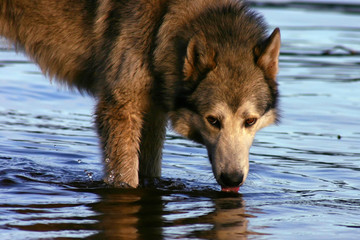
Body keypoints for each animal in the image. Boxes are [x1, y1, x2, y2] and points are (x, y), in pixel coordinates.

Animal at [0, 0, 280, 191]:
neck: (162, 24)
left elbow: (150, 170)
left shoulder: (153, 114)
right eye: (213, 120)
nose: (232, 179)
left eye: (250, 121)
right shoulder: (119, 110)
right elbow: (126, 179)